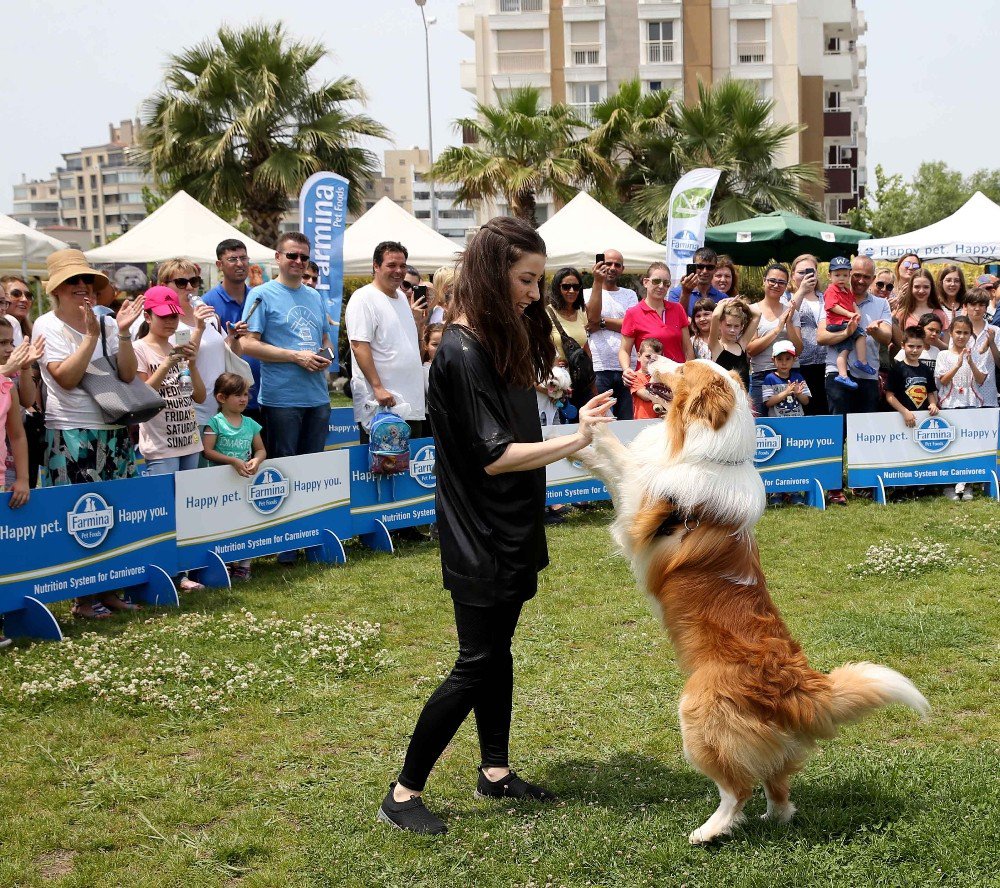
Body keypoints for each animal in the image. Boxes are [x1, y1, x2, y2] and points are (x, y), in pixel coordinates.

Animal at [580, 358, 928, 844]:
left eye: (682, 367)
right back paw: (771, 819)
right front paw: (580, 444)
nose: (648, 360)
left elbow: (622, 460)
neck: (705, 448)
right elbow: (612, 460)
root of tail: (796, 683)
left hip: (698, 715)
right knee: (779, 788)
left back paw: (710, 831)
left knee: (737, 788)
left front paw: (592, 425)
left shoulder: (639, 503)